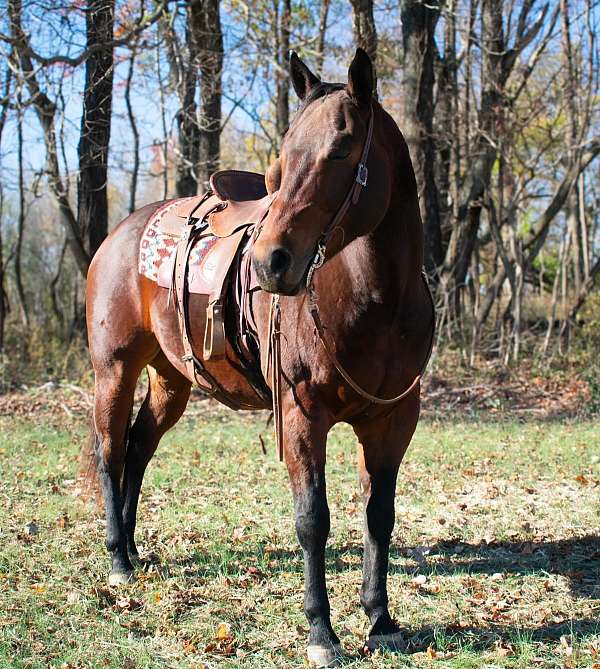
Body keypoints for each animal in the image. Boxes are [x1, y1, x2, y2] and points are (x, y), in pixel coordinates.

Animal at [84, 49, 434, 664]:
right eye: (282, 158)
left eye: (341, 149)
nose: (272, 263)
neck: (378, 301)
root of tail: (118, 235)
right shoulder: (301, 416)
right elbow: (312, 518)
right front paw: (322, 632)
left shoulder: (393, 420)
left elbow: (379, 515)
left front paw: (380, 619)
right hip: (115, 372)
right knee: (111, 451)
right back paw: (118, 559)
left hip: (172, 382)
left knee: (139, 447)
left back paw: (132, 546)